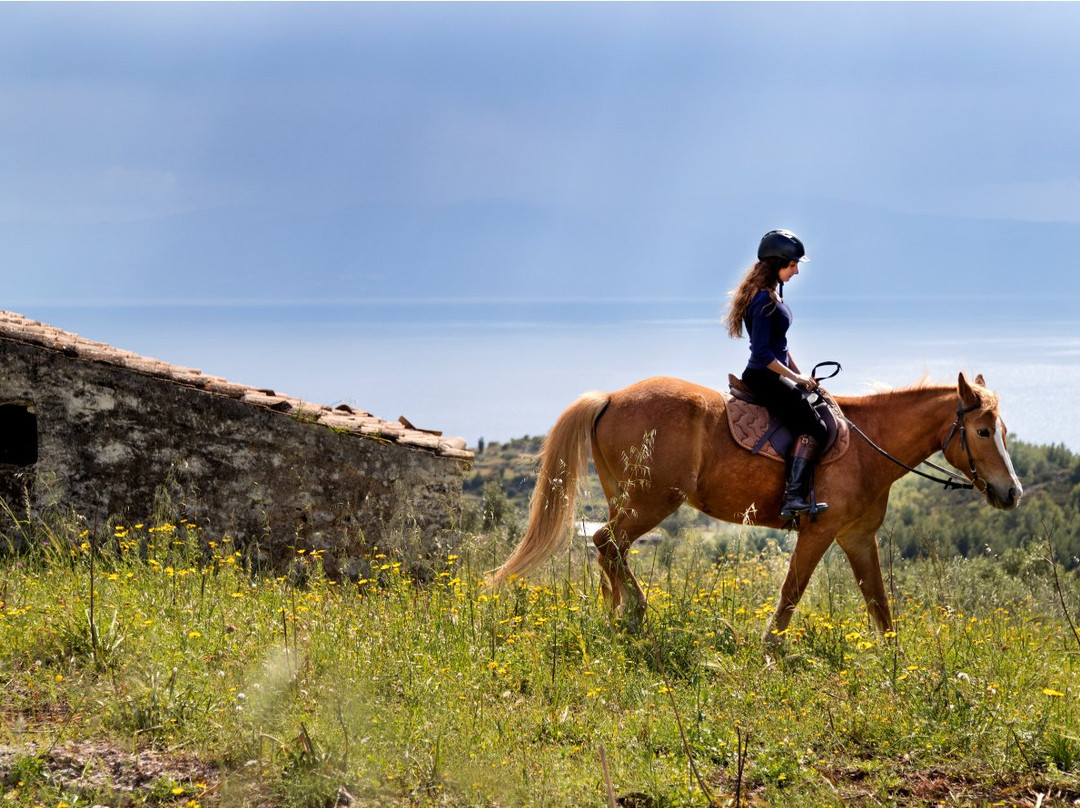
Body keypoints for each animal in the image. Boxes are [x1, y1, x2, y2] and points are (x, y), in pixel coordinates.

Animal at [490, 373, 1023, 646]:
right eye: (981, 431)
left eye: (1003, 431)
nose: (1013, 492)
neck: (867, 446)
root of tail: (611, 397)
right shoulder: (819, 531)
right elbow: (791, 593)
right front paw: (769, 652)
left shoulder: (856, 537)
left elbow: (879, 604)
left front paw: (895, 664)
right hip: (651, 501)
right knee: (607, 543)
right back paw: (635, 612)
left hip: (627, 497)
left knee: (608, 551)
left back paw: (614, 614)